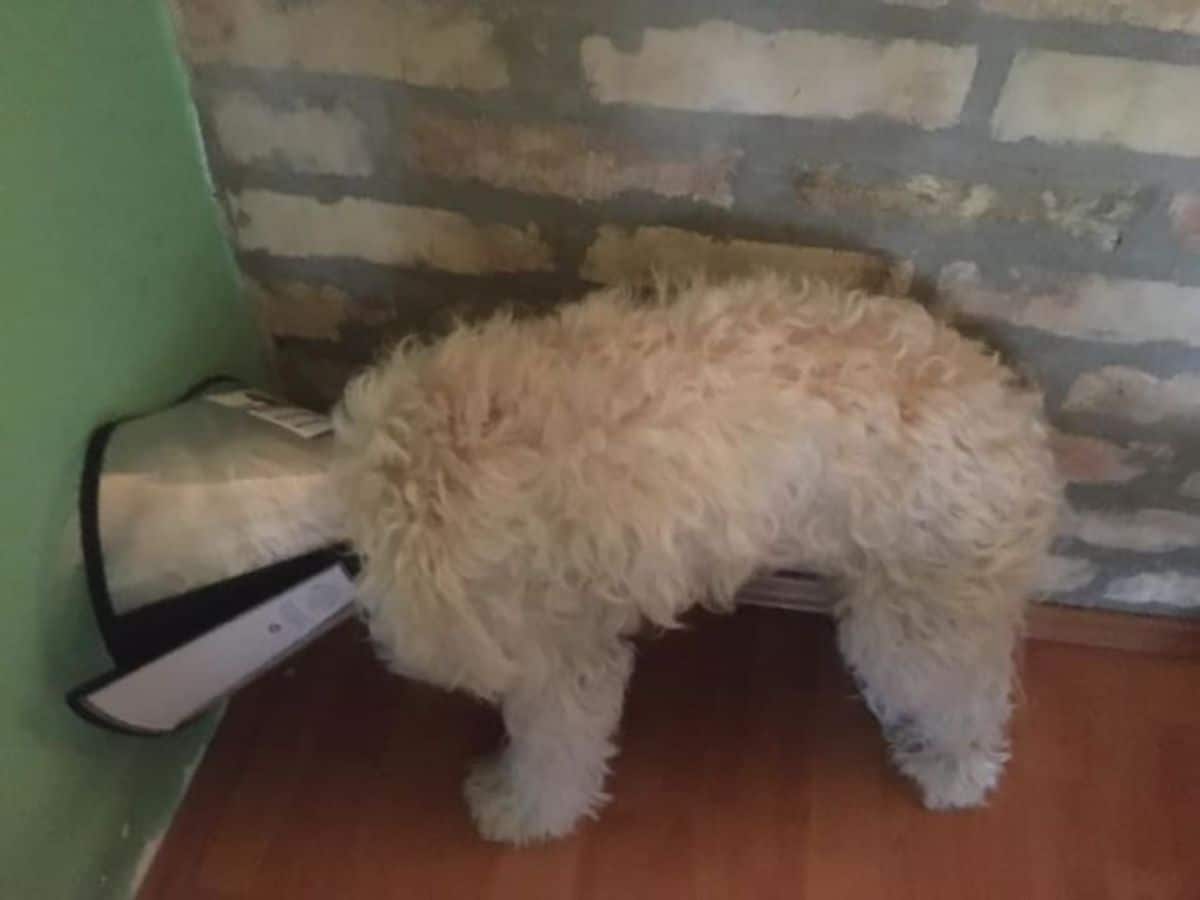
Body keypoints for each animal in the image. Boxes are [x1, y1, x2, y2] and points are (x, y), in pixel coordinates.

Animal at [333, 274, 1056, 844]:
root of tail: (1016, 417)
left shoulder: (561, 651)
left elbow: (556, 749)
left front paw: (521, 812)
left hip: (915, 622)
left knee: (969, 695)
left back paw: (956, 771)